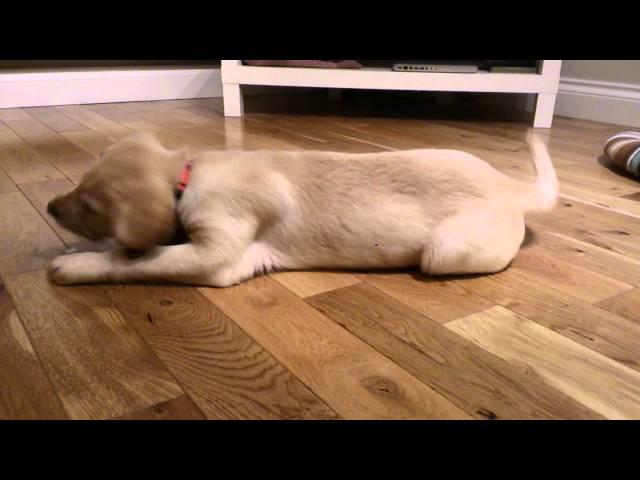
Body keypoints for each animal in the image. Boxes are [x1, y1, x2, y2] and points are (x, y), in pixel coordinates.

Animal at [46, 130, 556, 284]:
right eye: (80, 184)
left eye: (90, 204)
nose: (50, 207)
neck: (185, 176)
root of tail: (508, 185)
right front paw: (77, 251)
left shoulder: (218, 255)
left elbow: (137, 259)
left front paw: (78, 264)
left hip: (445, 252)